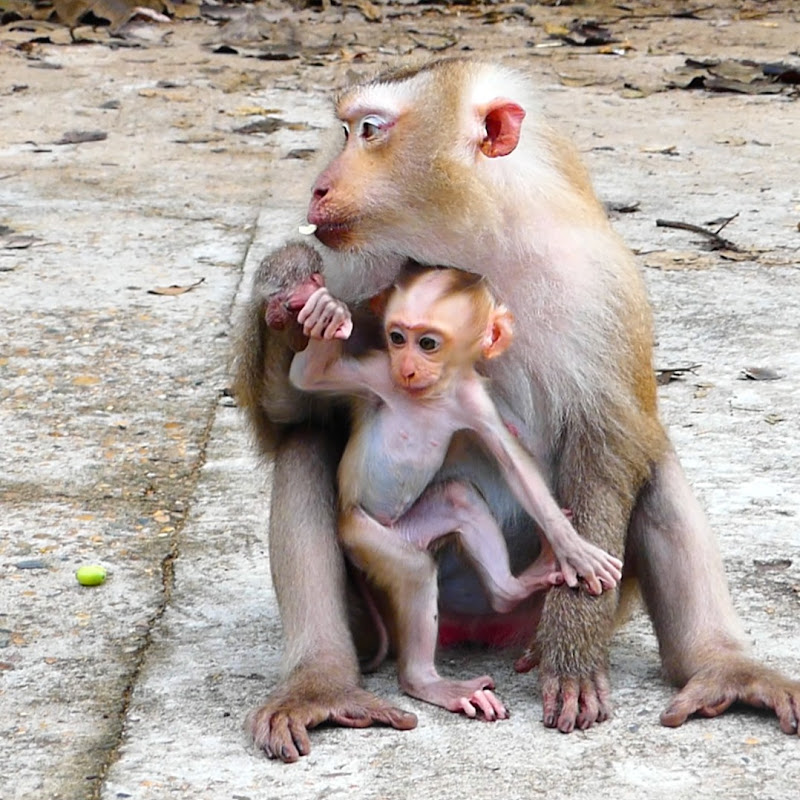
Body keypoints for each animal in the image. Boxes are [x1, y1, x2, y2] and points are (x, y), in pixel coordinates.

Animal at [288, 265, 624, 719]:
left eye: (427, 343)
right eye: (397, 338)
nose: (407, 365)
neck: (430, 394)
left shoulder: (474, 400)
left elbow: (514, 466)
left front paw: (572, 546)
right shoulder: (379, 374)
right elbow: (307, 377)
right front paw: (326, 315)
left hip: (413, 525)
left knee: (459, 497)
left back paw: (509, 590)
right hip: (362, 533)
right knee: (413, 571)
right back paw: (426, 682)